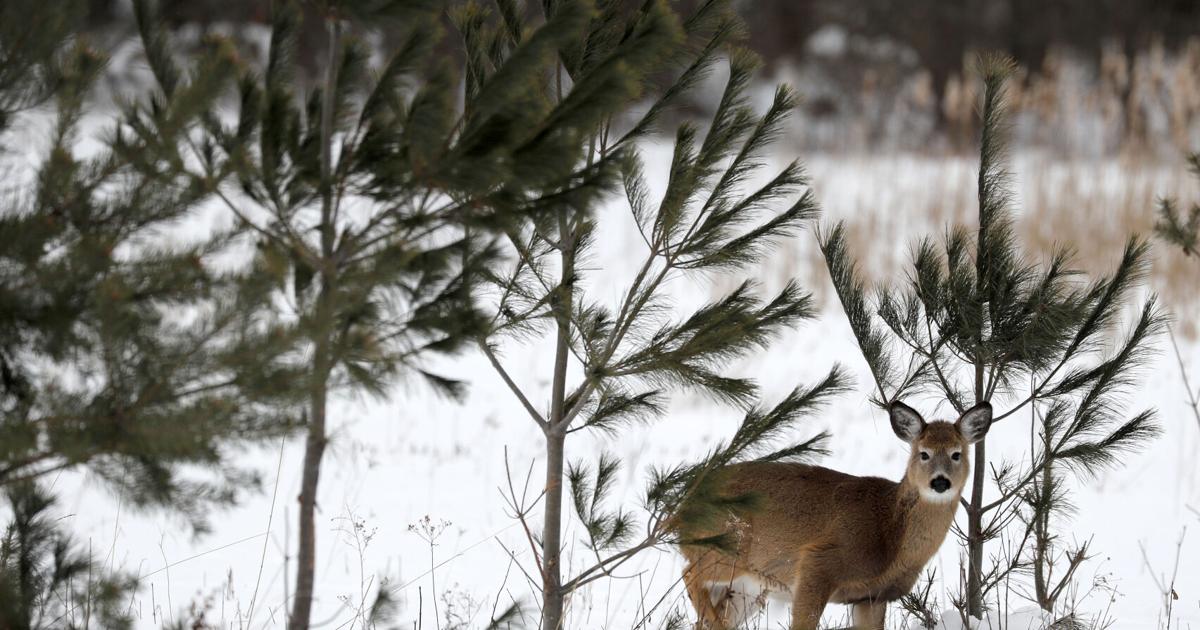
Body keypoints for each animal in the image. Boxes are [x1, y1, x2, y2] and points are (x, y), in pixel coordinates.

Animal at [677, 400, 992, 630]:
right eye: (923, 453)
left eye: (956, 453)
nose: (940, 482)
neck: (890, 531)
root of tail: (682, 506)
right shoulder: (817, 562)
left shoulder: (871, 596)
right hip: (726, 546)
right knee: (689, 574)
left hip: (748, 587)